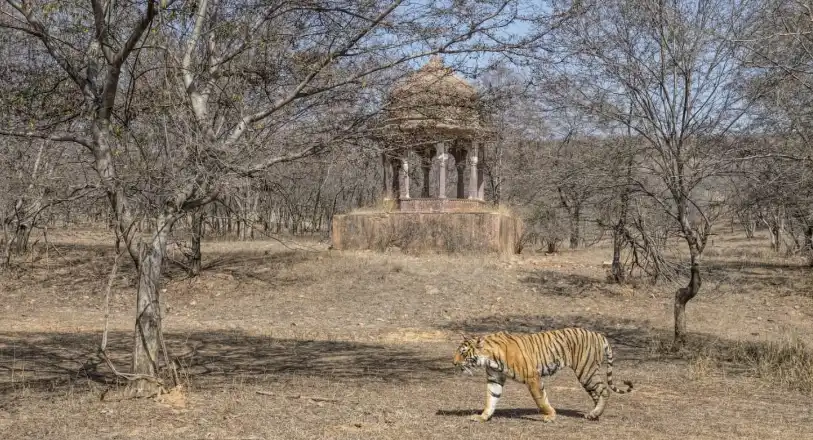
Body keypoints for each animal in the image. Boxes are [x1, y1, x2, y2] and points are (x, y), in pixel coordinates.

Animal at [452, 327, 633, 423]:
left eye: (463, 353)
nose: (453, 363)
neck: (489, 359)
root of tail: (599, 334)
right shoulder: (494, 379)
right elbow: (491, 399)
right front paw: (482, 417)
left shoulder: (532, 377)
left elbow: (541, 400)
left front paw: (550, 416)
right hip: (587, 374)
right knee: (597, 393)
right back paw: (594, 414)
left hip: (586, 371)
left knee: (604, 391)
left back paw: (594, 413)